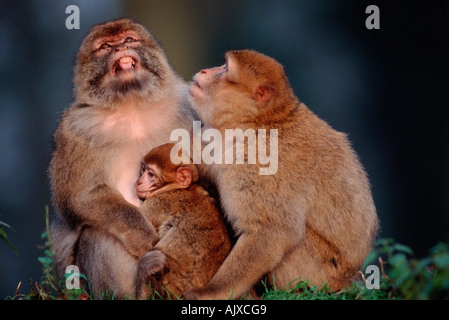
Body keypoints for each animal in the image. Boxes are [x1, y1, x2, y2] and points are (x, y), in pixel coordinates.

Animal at [49, 18, 196, 298]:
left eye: (129, 40)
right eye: (105, 46)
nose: (119, 48)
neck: (132, 105)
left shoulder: (189, 108)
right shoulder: (76, 130)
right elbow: (81, 197)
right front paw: (145, 238)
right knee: (98, 231)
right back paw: (141, 283)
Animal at [186, 48, 378, 298]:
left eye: (226, 68)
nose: (205, 71)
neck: (258, 121)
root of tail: (352, 275)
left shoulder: (258, 163)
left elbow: (273, 231)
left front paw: (212, 291)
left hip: (325, 271)